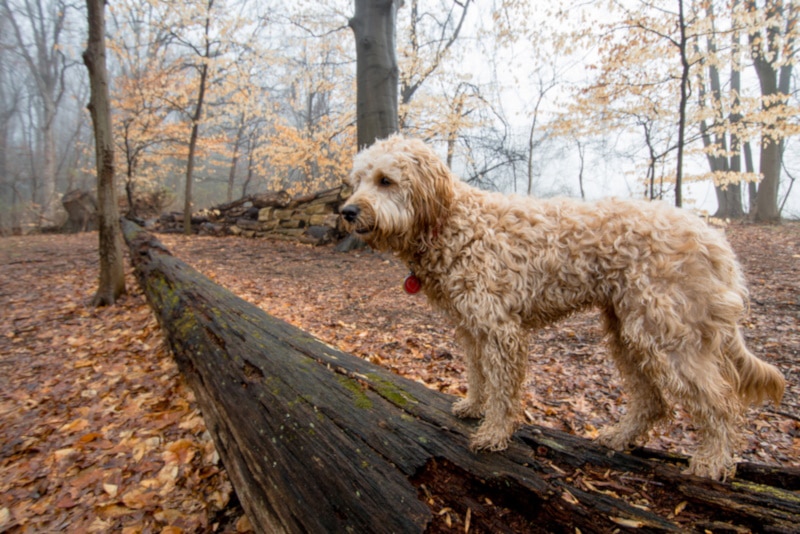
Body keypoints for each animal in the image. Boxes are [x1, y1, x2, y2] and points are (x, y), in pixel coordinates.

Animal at [340, 134, 784, 482]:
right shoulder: (472, 328)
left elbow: (502, 389)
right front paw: (473, 406)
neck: (453, 224)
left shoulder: (499, 329)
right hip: (628, 332)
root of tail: (715, 239)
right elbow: (479, 375)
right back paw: (619, 437)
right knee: (654, 402)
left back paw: (712, 460)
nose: (346, 211)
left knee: (719, 402)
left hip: (665, 335)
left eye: (385, 180)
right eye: (357, 181)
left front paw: (494, 433)